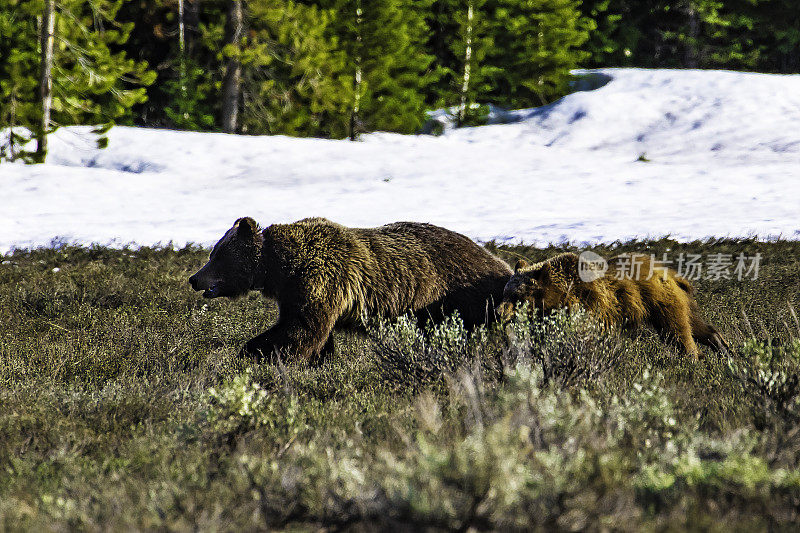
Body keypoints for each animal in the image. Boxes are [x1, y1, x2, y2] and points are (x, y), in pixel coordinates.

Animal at [188, 216, 512, 362]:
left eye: (217, 255)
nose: (194, 278)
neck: (279, 267)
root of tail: (501, 264)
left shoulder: (320, 278)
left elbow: (301, 328)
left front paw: (252, 352)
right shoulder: (297, 291)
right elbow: (313, 333)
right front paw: (321, 361)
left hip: (457, 294)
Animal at [500, 251, 732, 356]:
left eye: (518, 295)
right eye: (506, 291)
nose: (500, 311)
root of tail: (670, 273)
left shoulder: (587, 305)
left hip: (660, 301)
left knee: (676, 330)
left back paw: (692, 356)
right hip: (677, 301)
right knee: (694, 323)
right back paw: (722, 347)